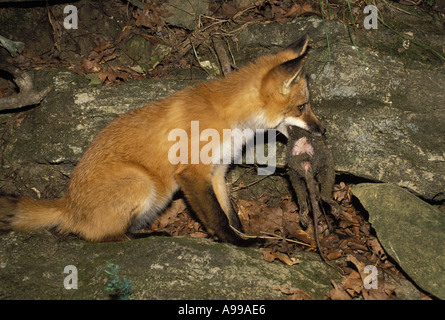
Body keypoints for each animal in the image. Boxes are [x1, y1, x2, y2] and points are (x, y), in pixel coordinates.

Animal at [0, 33, 322, 244]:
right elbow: (217, 218)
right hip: (141, 183)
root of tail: (67, 203)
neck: (228, 118)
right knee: (98, 236)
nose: (323, 131)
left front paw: (241, 235)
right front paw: (240, 243)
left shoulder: (217, 172)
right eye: (302, 107)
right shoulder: (192, 173)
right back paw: (149, 235)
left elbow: (230, 214)